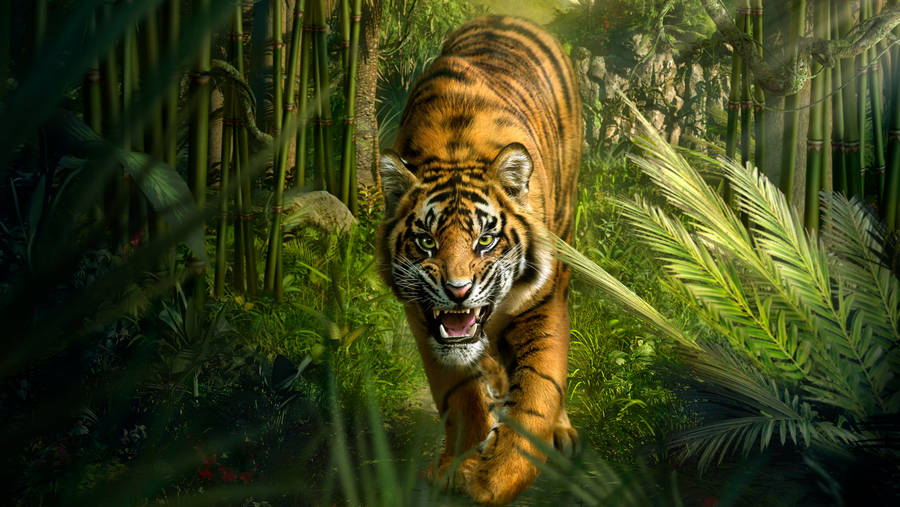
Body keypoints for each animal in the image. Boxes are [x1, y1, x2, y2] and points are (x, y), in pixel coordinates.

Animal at [376, 15, 582, 504]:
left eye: (485, 240)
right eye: (426, 242)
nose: (457, 291)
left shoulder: (543, 304)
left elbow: (539, 394)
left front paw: (494, 479)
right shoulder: (422, 316)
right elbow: (459, 390)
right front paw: (461, 465)